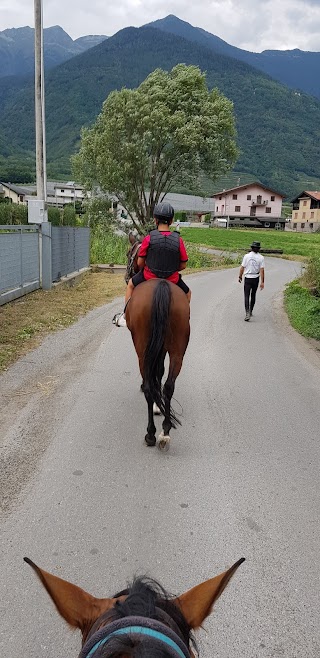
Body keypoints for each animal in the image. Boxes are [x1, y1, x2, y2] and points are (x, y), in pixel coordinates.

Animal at [125, 274, 190, 448]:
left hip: (143, 352)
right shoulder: (162, 348)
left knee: (149, 387)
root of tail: (162, 285)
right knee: (169, 386)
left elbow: (155, 374)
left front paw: (155, 405)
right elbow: (160, 371)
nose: (127, 276)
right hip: (177, 349)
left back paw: (151, 434)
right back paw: (165, 432)